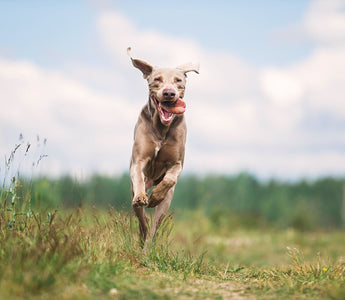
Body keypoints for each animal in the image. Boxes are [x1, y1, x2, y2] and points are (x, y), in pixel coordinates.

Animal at [127, 47, 199, 244]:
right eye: (157, 79)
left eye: (178, 80)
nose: (169, 93)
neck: (161, 129)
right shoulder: (138, 161)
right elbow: (138, 176)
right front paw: (144, 198)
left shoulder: (177, 163)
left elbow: (170, 178)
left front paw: (155, 197)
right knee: (140, 216)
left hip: (166, 203)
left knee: (154, 226)